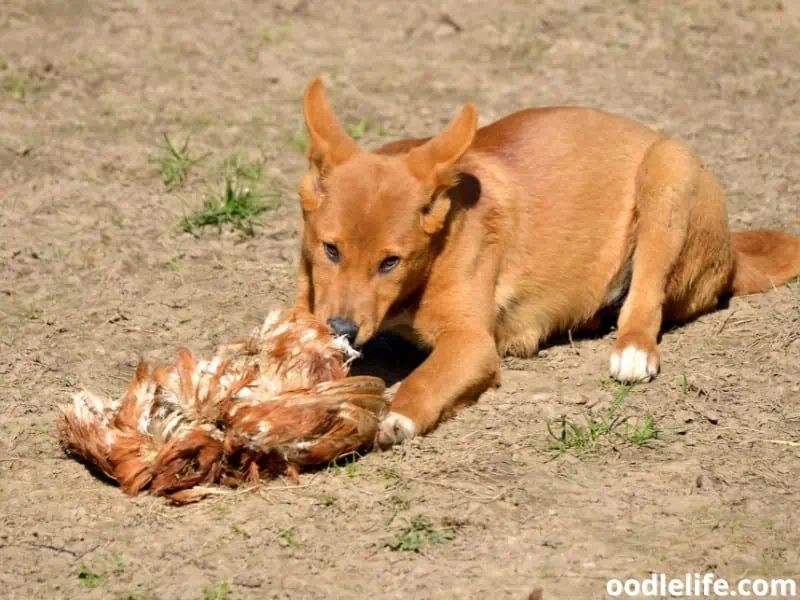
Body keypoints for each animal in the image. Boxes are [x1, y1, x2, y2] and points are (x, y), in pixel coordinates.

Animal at [292, 76, 800, 450]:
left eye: (390, 262)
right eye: (330, 249)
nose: (341, 330)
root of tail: (732, 252)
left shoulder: (471, 343)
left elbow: (427, 378)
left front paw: (396, 415)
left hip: (667, 172)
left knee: (645, 300)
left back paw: (632, 349)